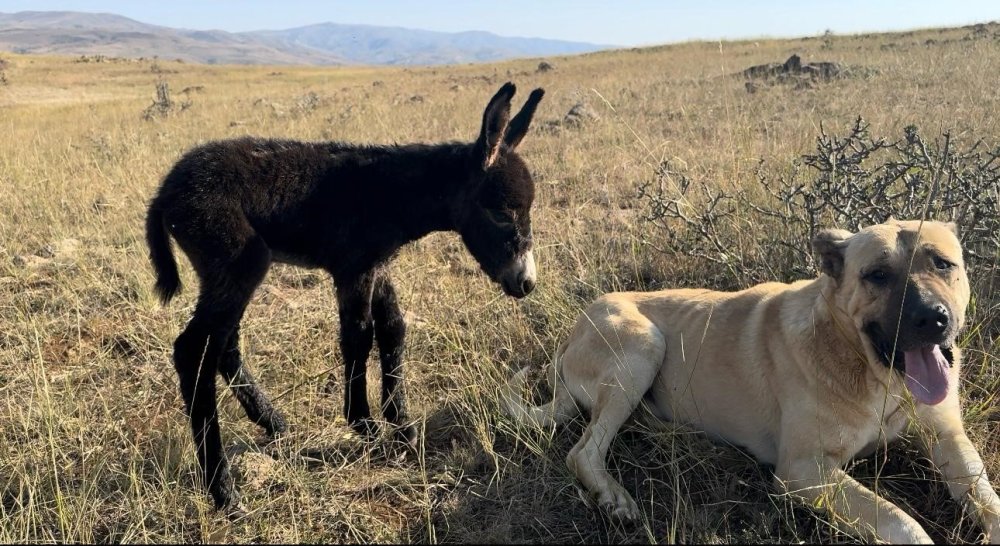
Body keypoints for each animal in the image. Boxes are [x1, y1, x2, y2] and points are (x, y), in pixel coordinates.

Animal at [145, 82, 544, 506]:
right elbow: (359, 336)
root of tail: (164, 192)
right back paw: (222, 490)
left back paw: (272, 421)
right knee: (193, 351)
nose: (526, 283)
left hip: (226, 275)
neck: (391, 193)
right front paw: (364, 423)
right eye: (500, 213)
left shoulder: (378, 266)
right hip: (239, 262)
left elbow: (393, 330)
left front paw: (402, 424)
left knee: (224, 345)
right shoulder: (353, 269)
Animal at [508, 219, 1000, 540]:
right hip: (642, 345)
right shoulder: (803, 471)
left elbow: (986, 495)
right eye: (877, 275)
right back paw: (613, 496)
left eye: (942, 264)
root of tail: (573, 331)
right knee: (583, 450)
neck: (873, 372)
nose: (933, 319)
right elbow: (902, 522)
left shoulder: (947, 436)